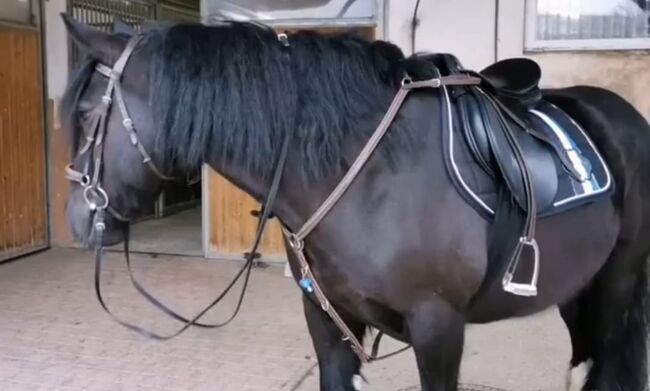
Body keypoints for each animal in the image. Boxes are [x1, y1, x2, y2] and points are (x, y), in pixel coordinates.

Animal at [58, 15, 644, 391]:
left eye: (86, 115)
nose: (77, 221)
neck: (370, 174)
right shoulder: (327, 320)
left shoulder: (438, 328)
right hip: (578, 287)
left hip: (617, 287)